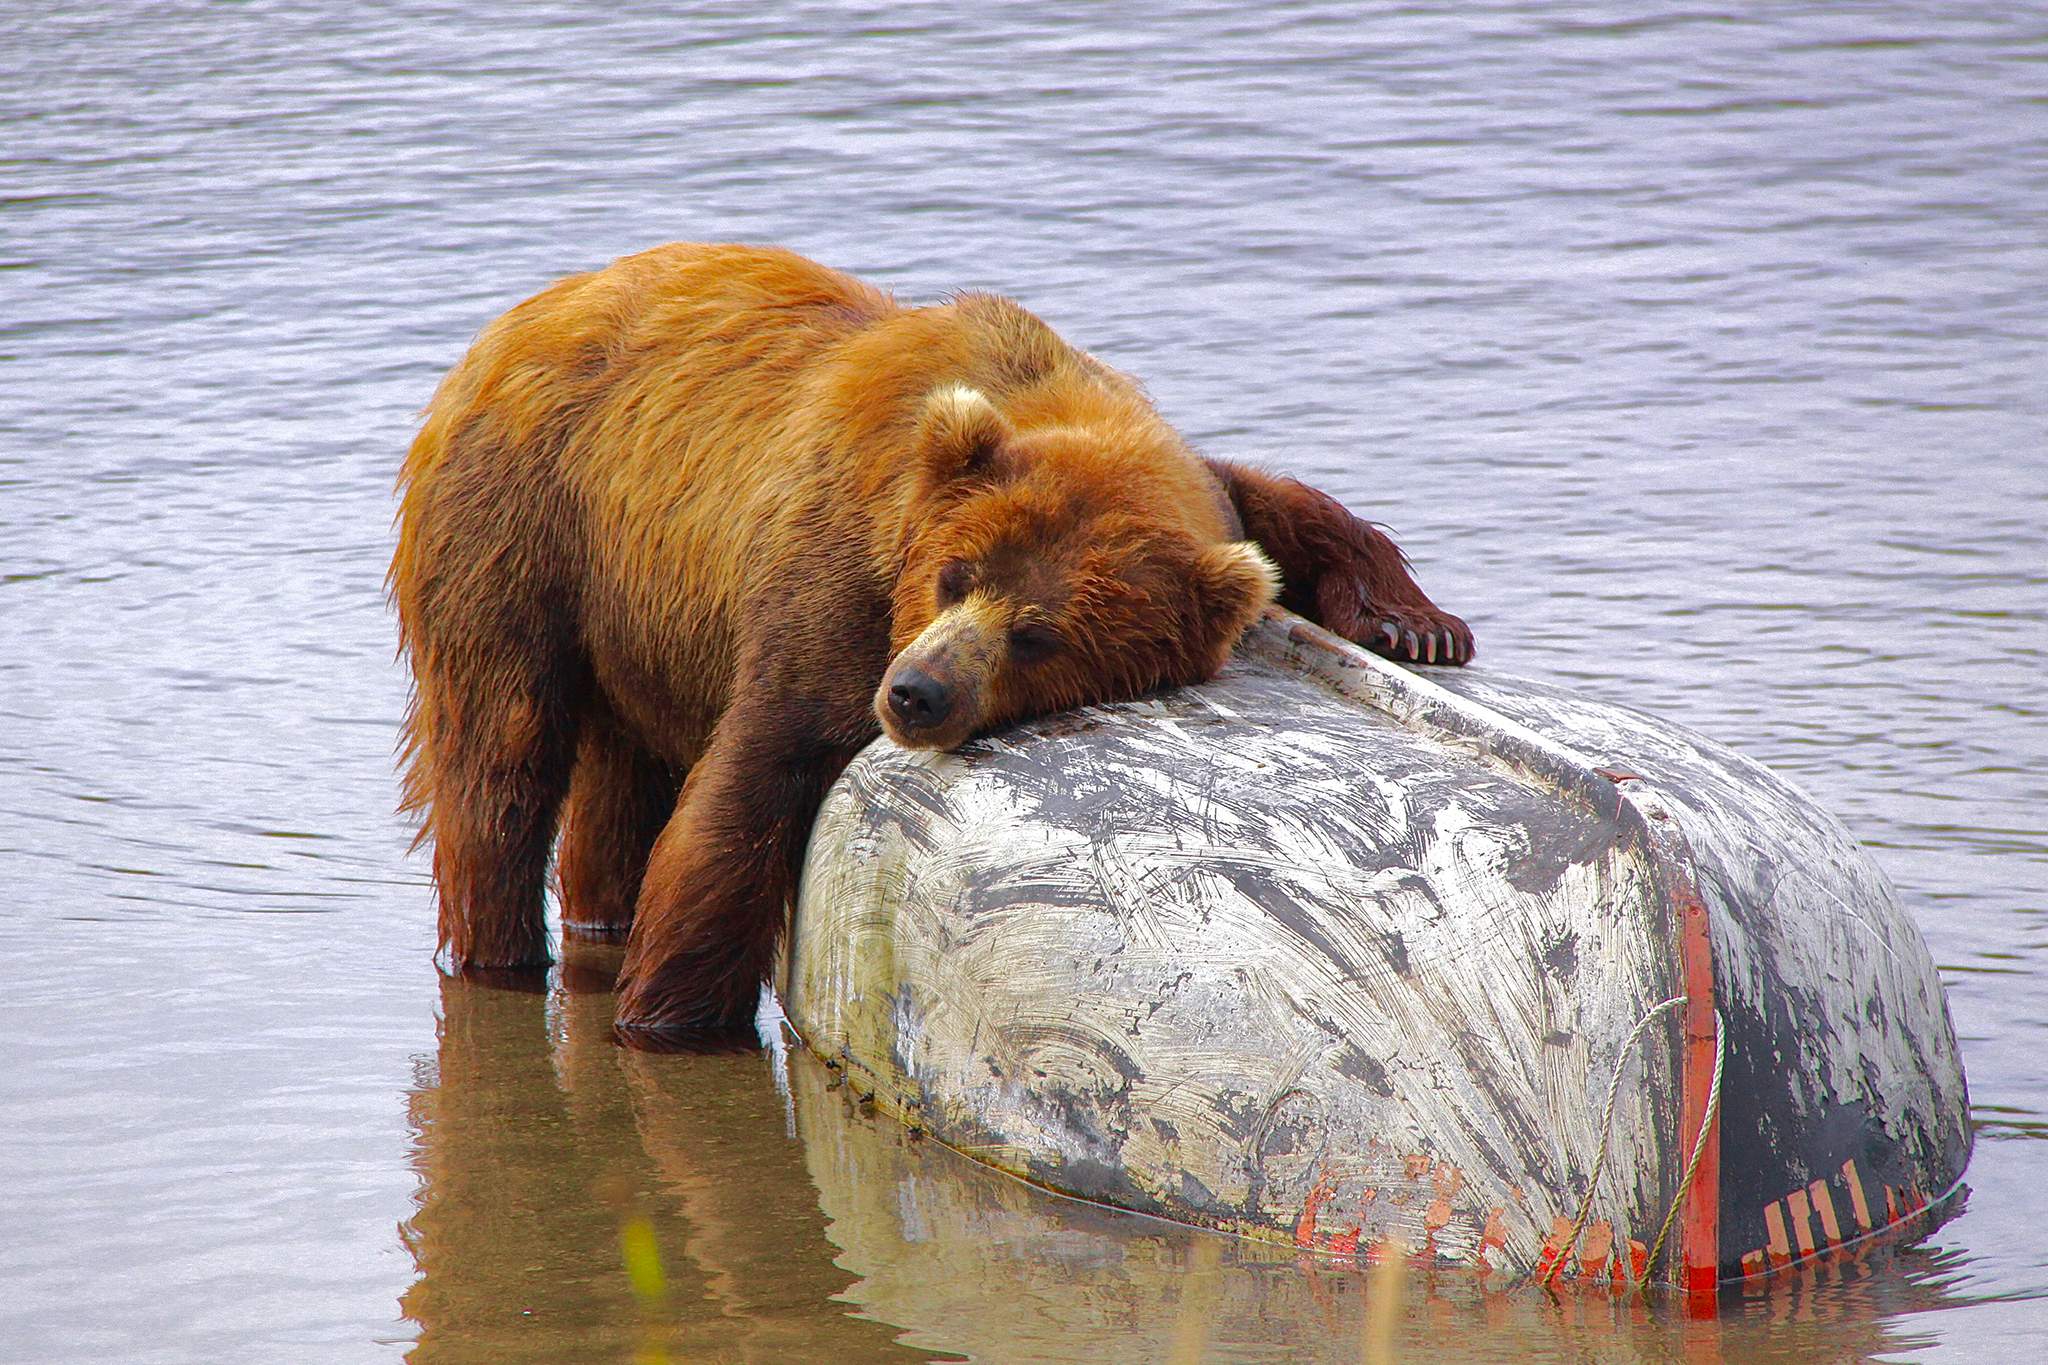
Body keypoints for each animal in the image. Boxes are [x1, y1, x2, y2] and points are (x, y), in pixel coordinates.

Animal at [387, 245, 1474, 1035]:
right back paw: (496, 948)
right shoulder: (832, 576)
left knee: (618, 784)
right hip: (525, 520)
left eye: (1039, 635)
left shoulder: (1185, 488)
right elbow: (747, 786)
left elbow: (1279, 504)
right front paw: (669, 1015)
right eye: (956, 576)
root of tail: (516, 319)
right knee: (501, 756)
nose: (916, 692)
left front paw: (1417, 625)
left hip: (638, 612)